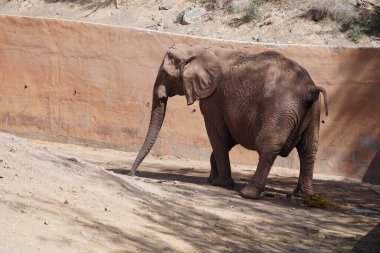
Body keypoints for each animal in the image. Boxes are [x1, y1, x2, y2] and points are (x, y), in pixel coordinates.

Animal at [128, 44, 326, 201]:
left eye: (166, 75)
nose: (131, 173)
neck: (198, 49)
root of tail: (310, 89)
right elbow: (227, 138)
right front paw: (212, 180)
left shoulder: (213, 98)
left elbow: (217, 134)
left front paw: (221, 184)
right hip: (313, 110)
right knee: (309, 148)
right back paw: (303, 195)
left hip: (280, 108)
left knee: (267, 146)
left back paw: (247, 193)